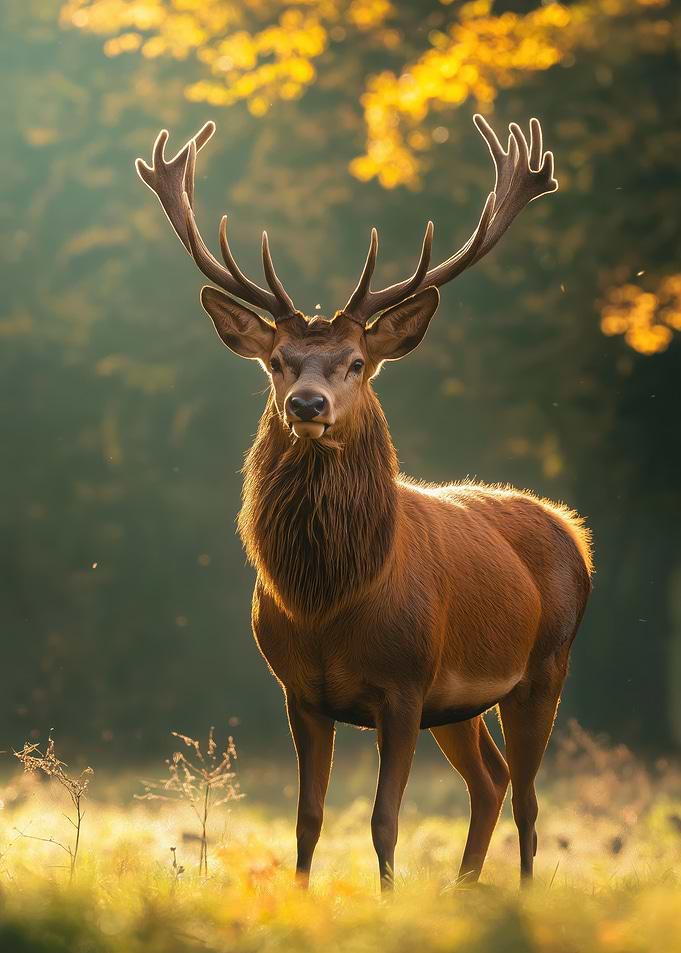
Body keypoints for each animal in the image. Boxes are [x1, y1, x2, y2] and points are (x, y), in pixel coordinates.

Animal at [137, 114, 592, 891]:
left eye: (355, 363)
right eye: (278, 360)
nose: (307, 404)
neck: (331, 602)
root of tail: (571, 529)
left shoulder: (405, 685)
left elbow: (384, 819)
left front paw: (388, 900)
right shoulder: (300, 692)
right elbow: (308, 818)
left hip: (544, 666)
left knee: (529, 798)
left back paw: (521, 892)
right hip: (461, 703)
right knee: (492, 780)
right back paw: (464, 888)